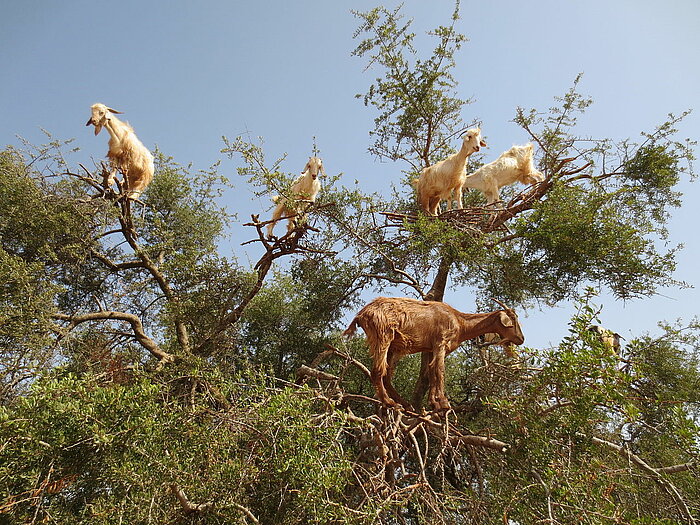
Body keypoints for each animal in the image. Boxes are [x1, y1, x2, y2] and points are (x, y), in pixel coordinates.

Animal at [342, 296, 524, 412]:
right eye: (514, 320)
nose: (521, 339)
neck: (460, 322)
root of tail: (362, 314)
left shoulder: (430, 349)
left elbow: (429, 372)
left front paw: (433, 403)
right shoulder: (440, 343)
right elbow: (440, 371)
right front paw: (444, 403)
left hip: (393, 347)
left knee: (387, 375)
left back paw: (405, 404)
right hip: (383, 336)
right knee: (377, 371)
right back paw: (390, 403)